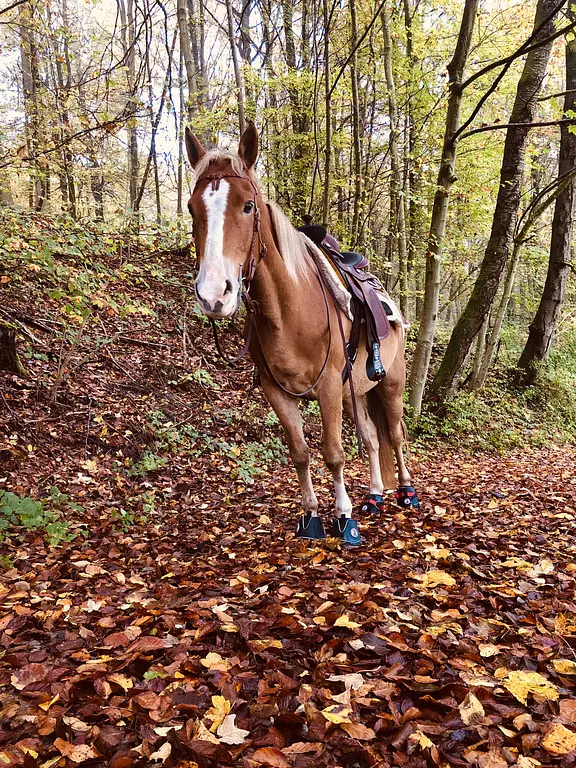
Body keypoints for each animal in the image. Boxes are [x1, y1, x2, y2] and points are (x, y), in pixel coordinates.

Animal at [185, 122, 419, 545]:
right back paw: (375, 495)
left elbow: (333, 453)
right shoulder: (276, 390)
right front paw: (311, 516)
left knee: (394, 435)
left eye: (248, 206)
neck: (290, 310)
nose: (213, 295)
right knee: (373, 438)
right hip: (356, 391)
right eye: (193, 209)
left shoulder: (327, 387)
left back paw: (406, 492)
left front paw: (344, 518)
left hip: (390, 383)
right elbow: (300, 452)